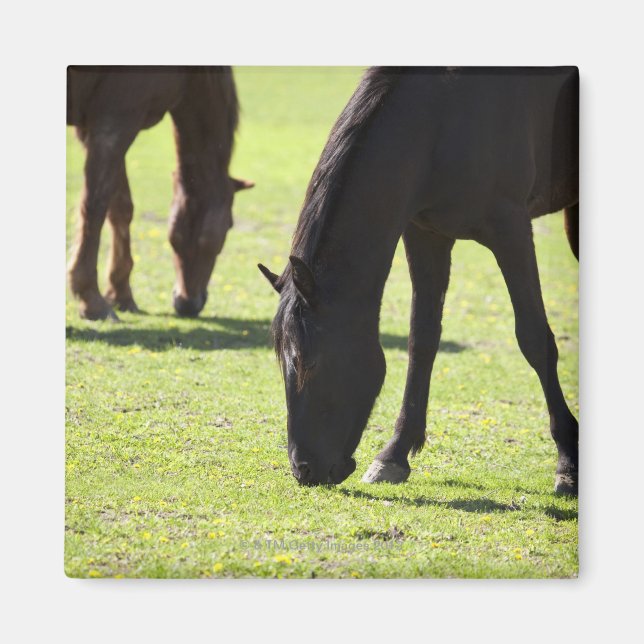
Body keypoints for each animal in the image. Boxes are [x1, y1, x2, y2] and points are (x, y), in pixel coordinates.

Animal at [67, 65, 253, 320]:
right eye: (230, 225)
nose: (187, 304)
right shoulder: (115, 124)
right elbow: (95, 207)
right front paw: (92, 300)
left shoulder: (97, 129)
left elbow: (120, 208)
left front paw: (121, 294)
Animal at [259, 67, 579, 495]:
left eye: (309, 361)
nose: (303, 470)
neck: (441, 117)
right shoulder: (425, 233)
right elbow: (422, 340)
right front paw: (393, 455)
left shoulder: (511, 228)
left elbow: (534, 340)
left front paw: (567, 462)